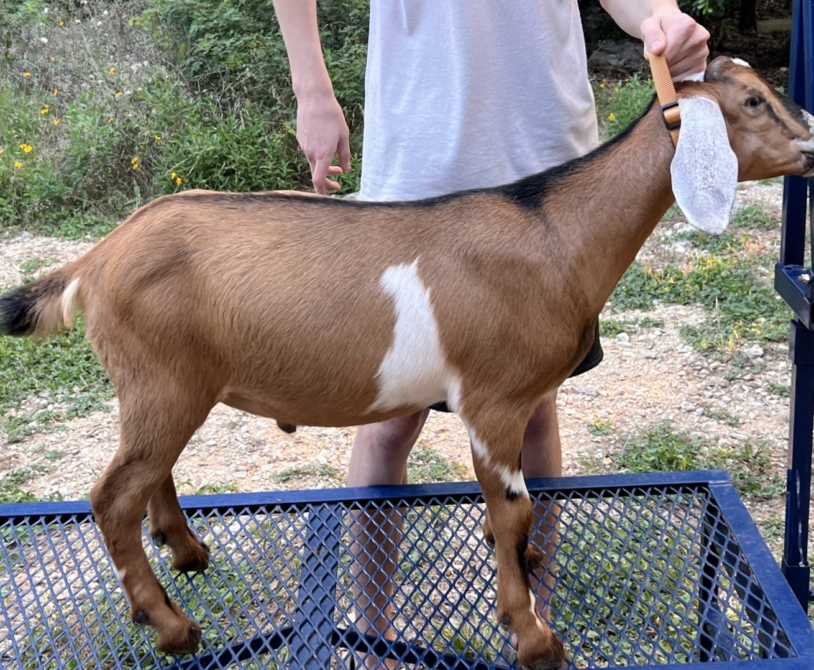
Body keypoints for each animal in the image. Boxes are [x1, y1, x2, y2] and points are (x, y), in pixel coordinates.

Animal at [1, 57, 814, 668]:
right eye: (752, 101)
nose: (811, 144)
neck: (554, 235)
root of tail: (95, 259)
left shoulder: (518, 403)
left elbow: (516, 512)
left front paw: (524, 577)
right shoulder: (492, 397)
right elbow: (514, 507)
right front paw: (533, 637)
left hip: (165, 387)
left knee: (149, 474)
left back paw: (189, 551)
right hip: (162, 381)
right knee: (113, 494)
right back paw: (171, 626)